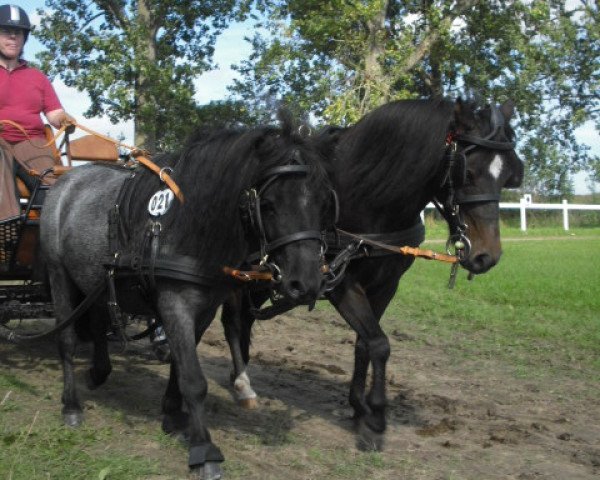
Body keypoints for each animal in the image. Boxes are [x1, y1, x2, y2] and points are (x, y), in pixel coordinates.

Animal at [40, 118, 336, 478]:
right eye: (268, 204)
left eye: (323, 202)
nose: (305, 283)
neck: (185, 227)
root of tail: (67, 180)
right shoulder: (175, 304)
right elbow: (194, 379)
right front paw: (204, 449)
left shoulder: (204, 309)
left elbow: (180, 365)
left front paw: (173, 415)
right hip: (58, 274)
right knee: (67, 339)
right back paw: (71, 404)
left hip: (94, 278)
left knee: (96, 321)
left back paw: (98, 372)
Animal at [221, 97, 524, 450]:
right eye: (468, 172)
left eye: (508, 176)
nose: (486, 255)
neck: (369, 198)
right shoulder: (340, 284)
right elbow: (379, 343)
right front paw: (377, 418)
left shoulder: (385, 286)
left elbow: (364, 343)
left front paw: (358, 408)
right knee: (233, 320)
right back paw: (241, 381)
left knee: (243, 319)